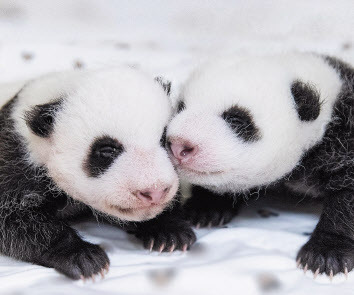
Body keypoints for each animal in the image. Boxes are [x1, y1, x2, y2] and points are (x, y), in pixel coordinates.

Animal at [0, 68, 195, 280]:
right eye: (107, 150)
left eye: (164, 140)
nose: (155, 192)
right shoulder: (14, 162)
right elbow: (14, 220)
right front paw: (82, 256)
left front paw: (170, 231)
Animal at [167, 53, 354, 280]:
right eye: (181, 107)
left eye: (236, 120)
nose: (179, 146)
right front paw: (205, 208)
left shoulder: (345, 136)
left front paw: (326, 253)